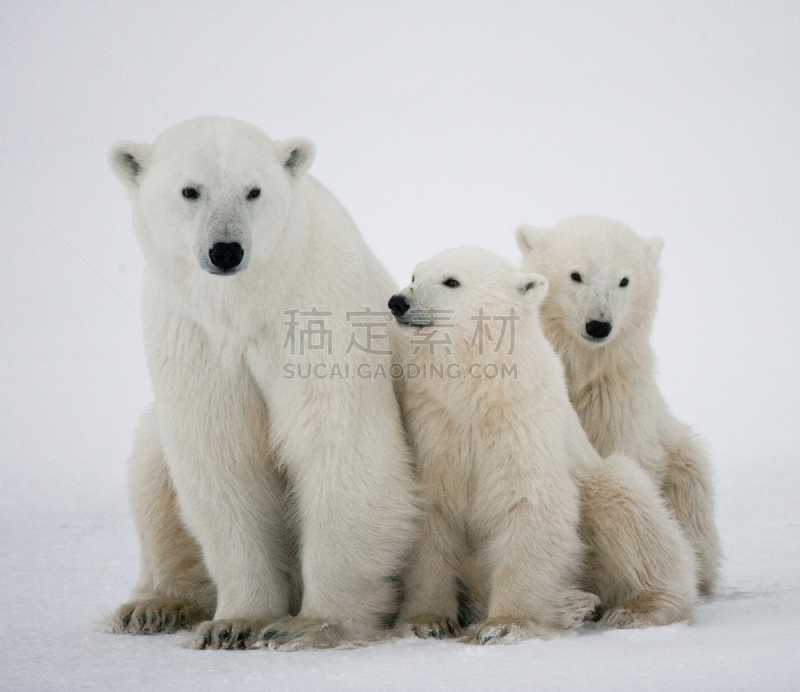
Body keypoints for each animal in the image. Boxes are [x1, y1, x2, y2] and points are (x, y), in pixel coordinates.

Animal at [105, 116, 418, 652]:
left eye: (253, 190)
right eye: (190, 190)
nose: (226, 250)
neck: (247, 304)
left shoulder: (316, 311)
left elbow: (338, 442)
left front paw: (312, 625)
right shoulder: (193, 333)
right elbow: (224, 457)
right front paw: (235, 622)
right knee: (151, 466)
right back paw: (152, 606)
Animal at [388, 246, 692, 640]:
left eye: (451, 281)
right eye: (414, 276)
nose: (398, 302)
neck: (478, 394)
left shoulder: (523, 424)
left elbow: (528, 502)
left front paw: (505, 625)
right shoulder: (434, 427)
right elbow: (431, 516)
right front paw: (427, 621)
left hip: (599, 482)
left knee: (625, 502)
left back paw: (632, 609)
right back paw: (573, 605)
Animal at [516, 216, 720, 596]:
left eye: (624, 280)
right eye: (576, 274)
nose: (599, 325)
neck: (581, 370)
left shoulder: (615, 398)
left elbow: (623, 458)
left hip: (682, 465)